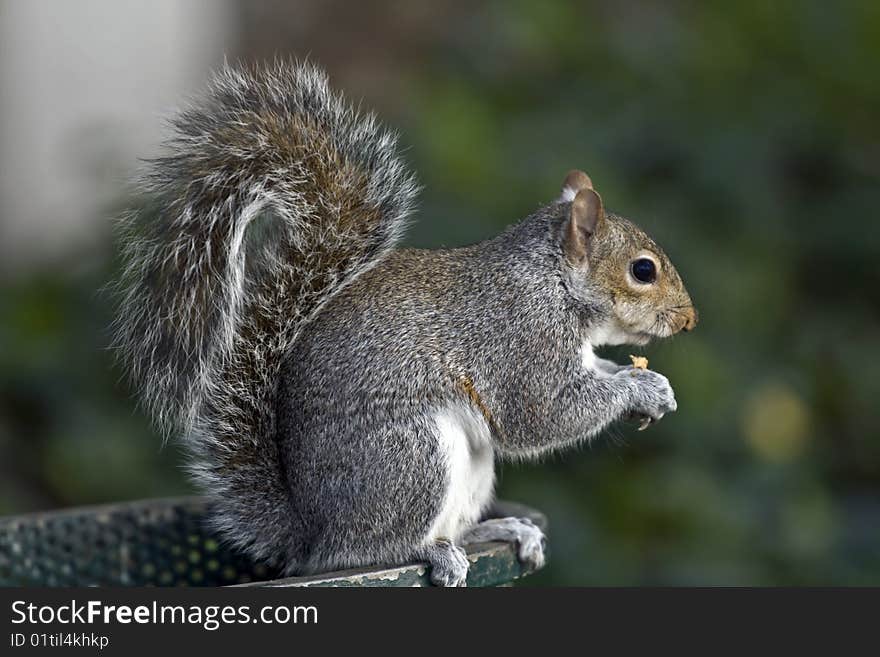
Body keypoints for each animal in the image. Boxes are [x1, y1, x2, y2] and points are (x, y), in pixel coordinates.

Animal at [113, 60, 696, 584]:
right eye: (643, 270)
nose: (689, 320)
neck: (553, 282)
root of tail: (313, 534)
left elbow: (595, 375)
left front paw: (651, 384)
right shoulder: (517, 338)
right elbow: (541, 414)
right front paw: (638, 389)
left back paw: (499, 530)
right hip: (410, 456)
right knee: (372, 550)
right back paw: (430, 551)